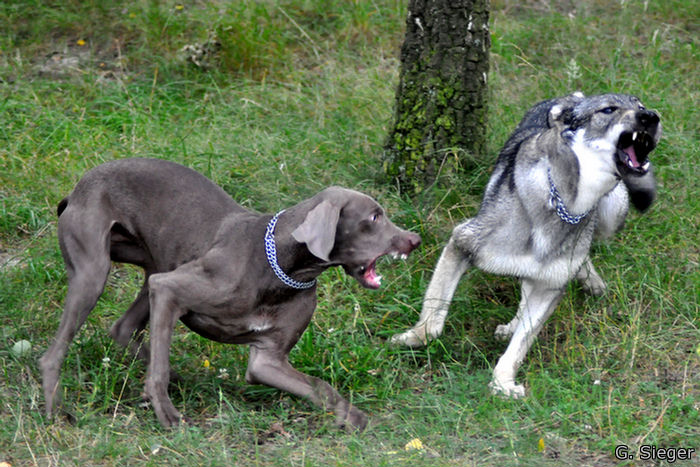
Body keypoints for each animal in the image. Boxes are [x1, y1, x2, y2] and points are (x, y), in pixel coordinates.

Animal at [41, 159, 422, 430]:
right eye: (374, 217)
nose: (415, 239)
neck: (278, 267)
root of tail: (78, 187)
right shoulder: (169, 289)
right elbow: (159, 370)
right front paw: (167, 413)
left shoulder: (268, 360)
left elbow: (320, 386)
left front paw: (352, 417)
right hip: (95, 272)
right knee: (54, 354)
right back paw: (57, 412)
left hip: (153, 266)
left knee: (123, 329)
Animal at [394, 92, 660, 398]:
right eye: (608, 110)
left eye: (641, 107)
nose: (652, 117)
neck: (567, 205)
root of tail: (571, 95)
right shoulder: (462, 241)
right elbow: (434, 315)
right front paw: (413, 338)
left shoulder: (550, 286)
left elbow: (521, 344)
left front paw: (502, 382)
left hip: (612, 215)